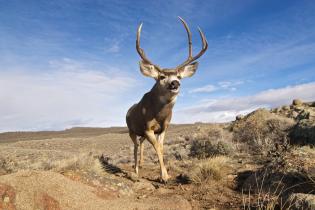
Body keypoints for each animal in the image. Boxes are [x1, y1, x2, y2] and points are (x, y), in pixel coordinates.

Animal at [127, 17, 209, 183]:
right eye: (162, 76)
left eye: (179, 76)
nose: (175, 83)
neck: (159, 115)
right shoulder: (147, 128)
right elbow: (157, 148)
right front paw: (164, 176)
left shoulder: (164, 128)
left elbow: (161, 147)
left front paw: (163, 174)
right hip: (131, 129)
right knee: (135, 146)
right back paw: (136, 171)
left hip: (141, 133)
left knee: (140, 144)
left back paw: (141, 164)